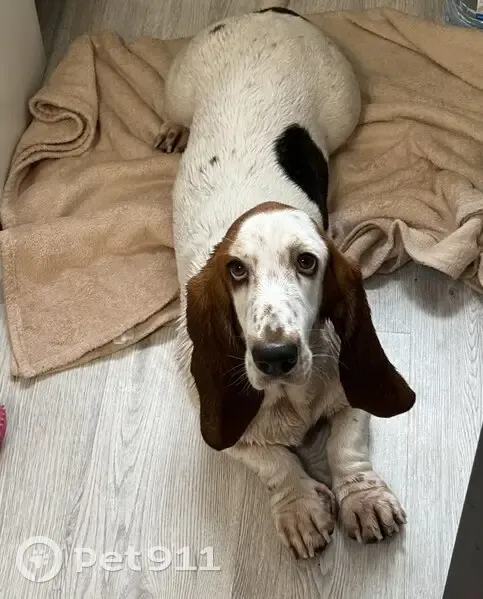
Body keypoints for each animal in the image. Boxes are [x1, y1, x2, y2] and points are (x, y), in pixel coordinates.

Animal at [157, 7, 416, 559]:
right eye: (236, 270)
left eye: (307, 262)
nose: (275, 356)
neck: (288, 397)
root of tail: (267, 11)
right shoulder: (228, 431)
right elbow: (274, 463)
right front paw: (298, 508)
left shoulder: (350, 398)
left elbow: (345, 446)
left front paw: (363, 499)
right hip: (179, 87)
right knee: (173, 109)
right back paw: (171, 129)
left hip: (344, 107)